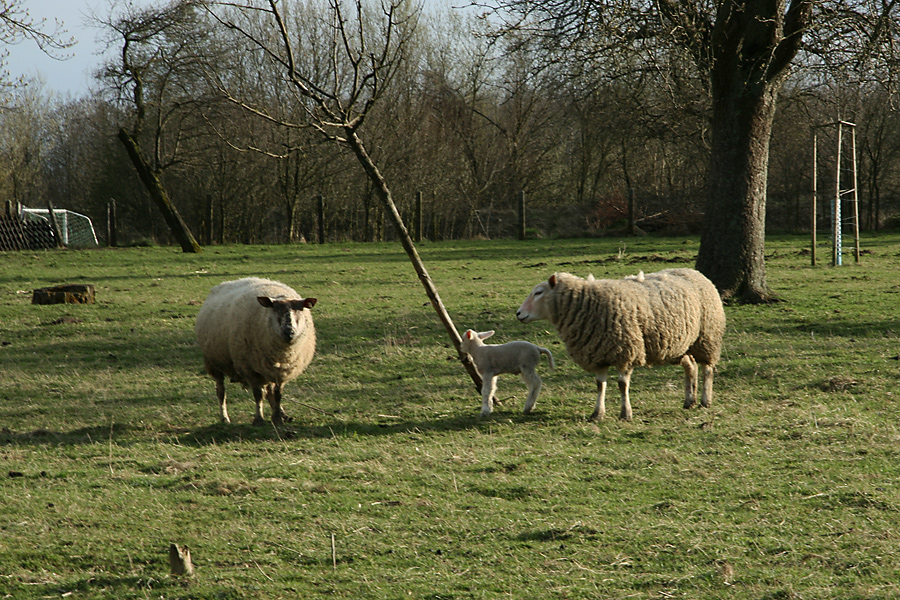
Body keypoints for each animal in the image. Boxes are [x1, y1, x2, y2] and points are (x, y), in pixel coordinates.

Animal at [193, 278, 316, 424]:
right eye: (275, 309)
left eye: (300, 308)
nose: (289, 331)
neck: (282, 354)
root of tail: (225, 283)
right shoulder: (250, 369)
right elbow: (258, 395)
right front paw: (259, 419)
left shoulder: (281, 372)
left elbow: (277, 394)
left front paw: (277, 418)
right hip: (214, 362)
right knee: (221, 391)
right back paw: (224, 418)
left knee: (269, 392)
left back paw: (282, 414)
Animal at [512, 268, 724, 422]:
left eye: (538, 293)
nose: (518, 314)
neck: (586, 304)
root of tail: (695, 272)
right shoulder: (598, 353)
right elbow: (600, 385)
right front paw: (597, 414)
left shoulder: (626, 351)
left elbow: (622, 385)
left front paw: (625, 414)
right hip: (682, 345)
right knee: (690, 366)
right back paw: (689, 400)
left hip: (706, 337)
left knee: (707, 369)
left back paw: (705, 400)